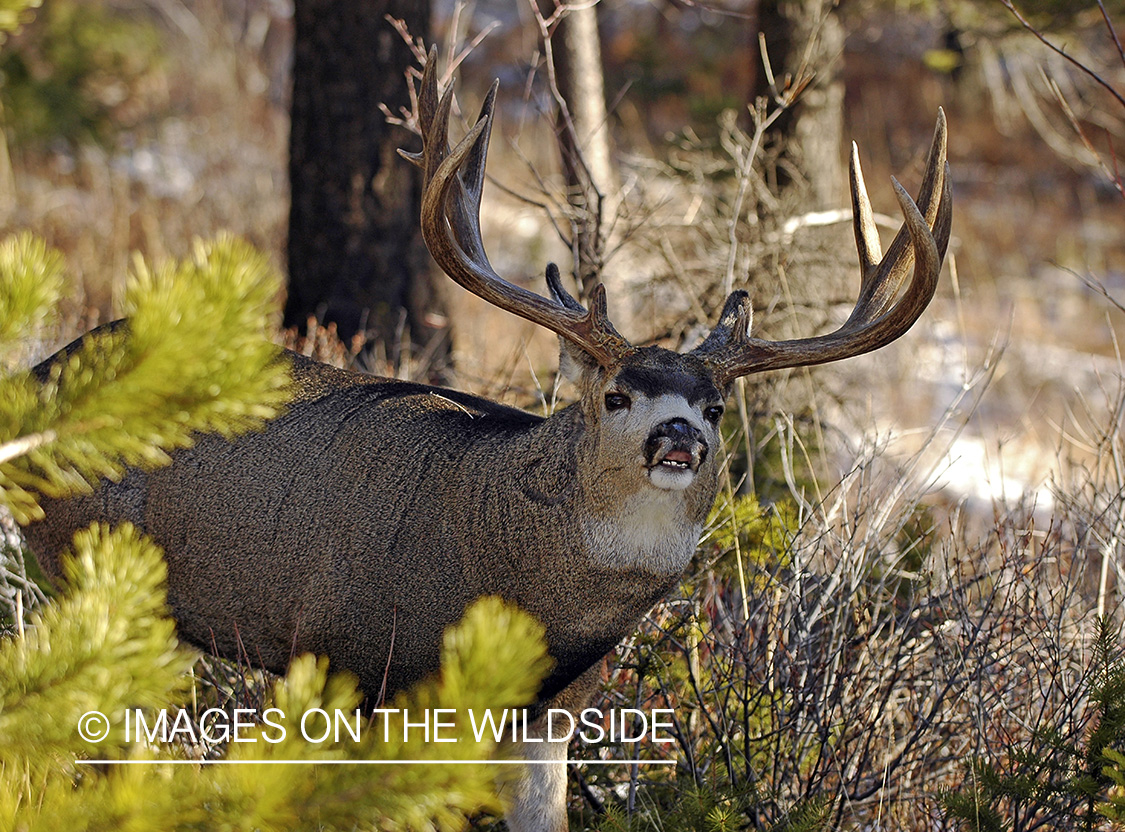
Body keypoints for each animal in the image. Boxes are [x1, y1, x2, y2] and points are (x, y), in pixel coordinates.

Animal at [19, 57, 952, 832]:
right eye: (615, 394)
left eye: (717, 406)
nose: (677, 436)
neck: (504, 564)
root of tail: (39, 375)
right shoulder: (351, 657)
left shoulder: (550, 713)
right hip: (81, 563)